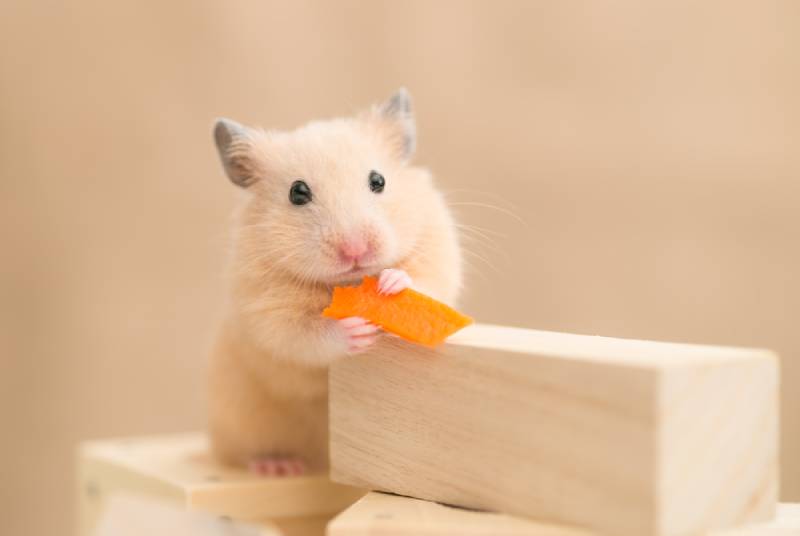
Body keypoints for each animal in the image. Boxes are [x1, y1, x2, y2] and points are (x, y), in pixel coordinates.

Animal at [206, 89, 462, 478]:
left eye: (378, 180)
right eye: (297, 193)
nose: (355, 250)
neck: (349, 282)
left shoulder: (436, 245)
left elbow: (427, 278)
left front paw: (392, 281)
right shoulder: (266, 310)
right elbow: (304, 335)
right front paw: (356, 330)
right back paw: (278, 466)